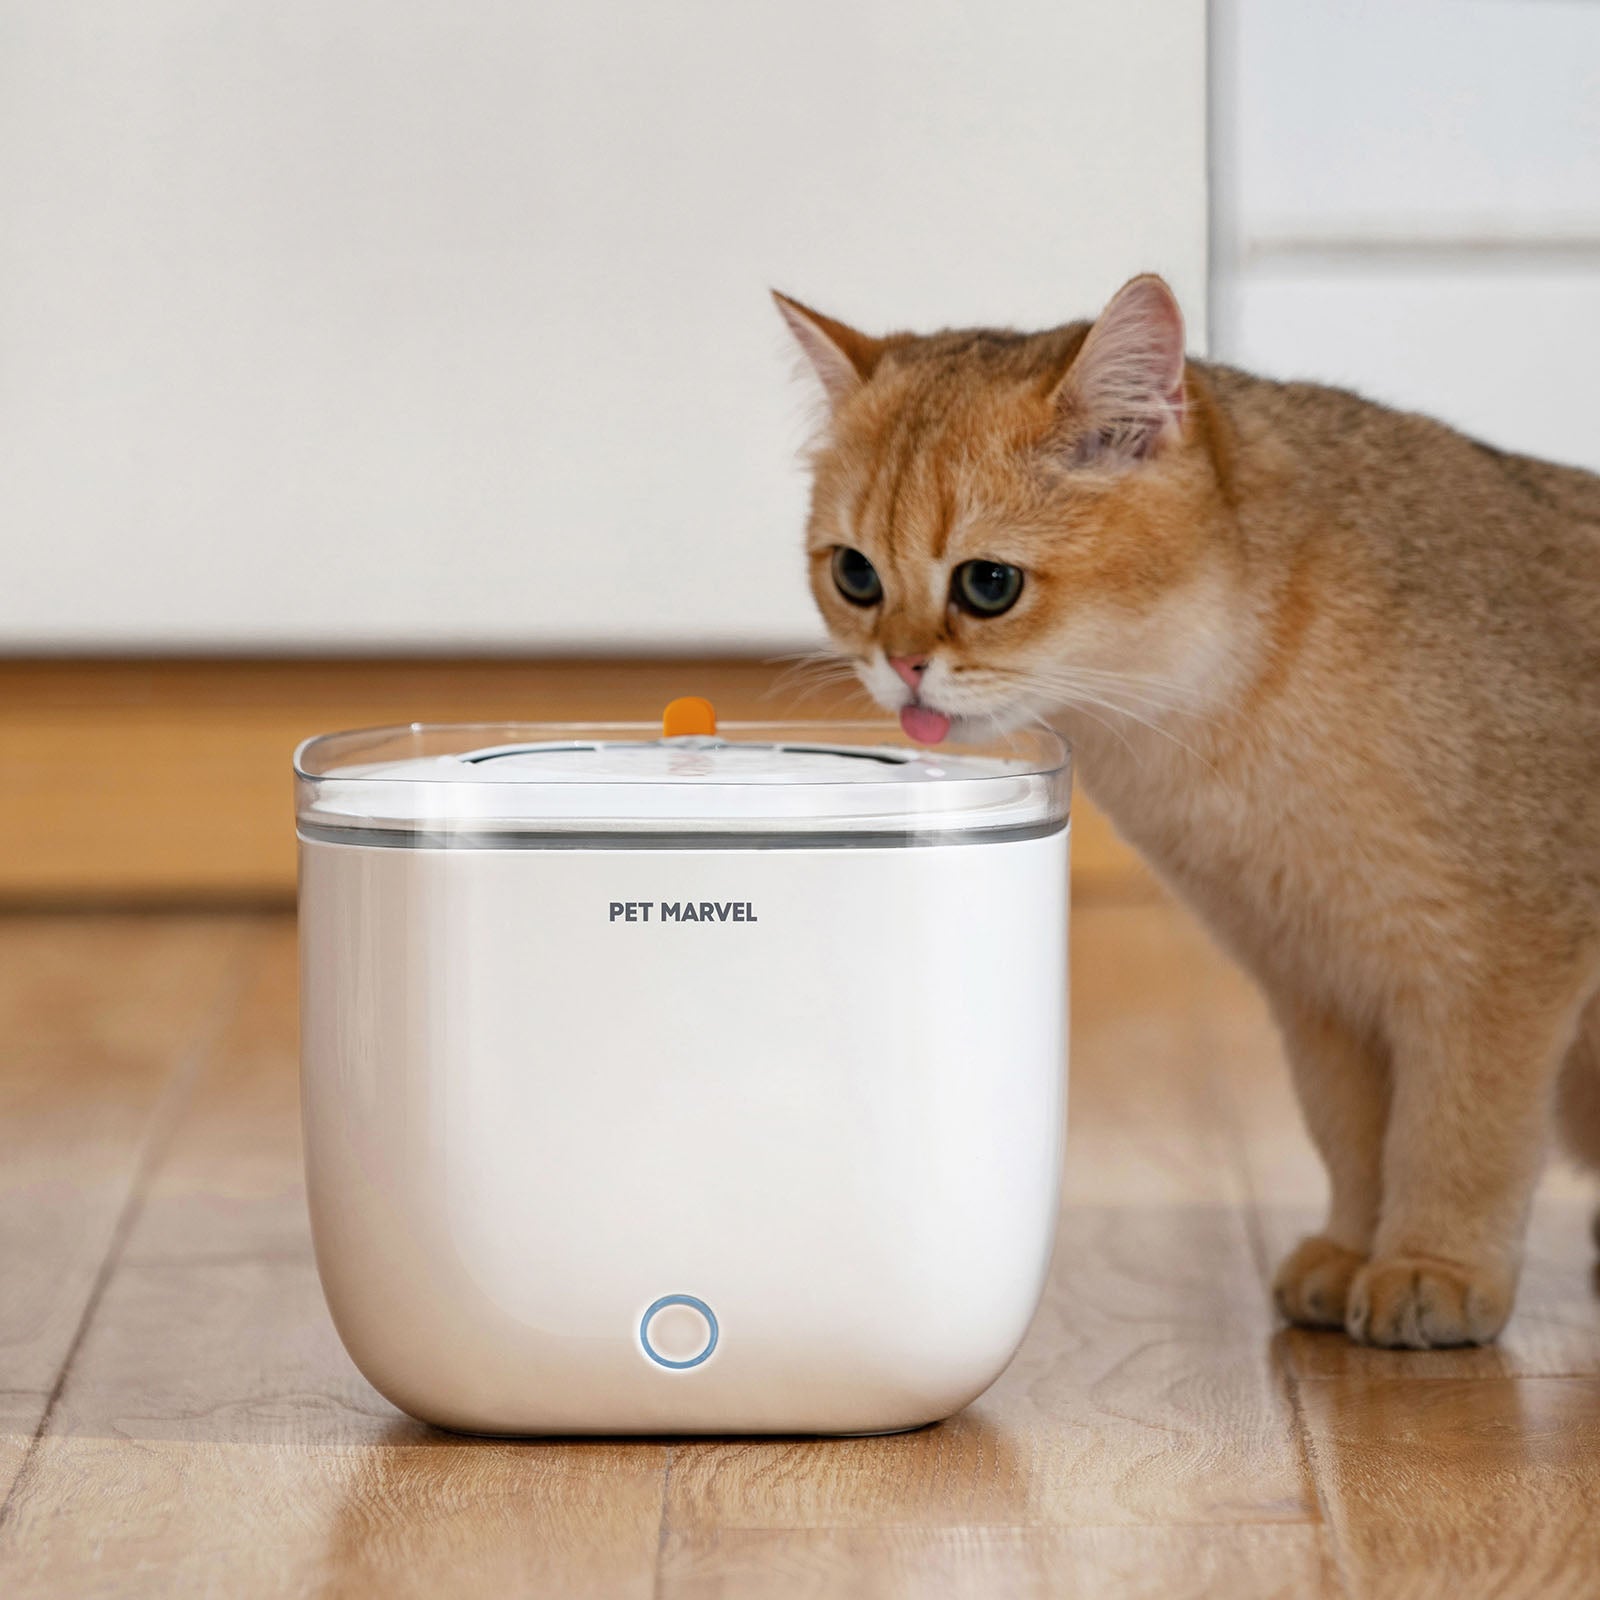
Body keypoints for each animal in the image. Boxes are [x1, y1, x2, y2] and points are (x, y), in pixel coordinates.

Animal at [774, 278, 1600, 1350]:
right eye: (856, 575)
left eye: (988, 584)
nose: (902, 666)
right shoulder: (1320, 987)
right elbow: (1354, 1136)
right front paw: (1352, 1249)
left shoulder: (1501, 961)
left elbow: (1462, 1132)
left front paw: (1434, 1266)